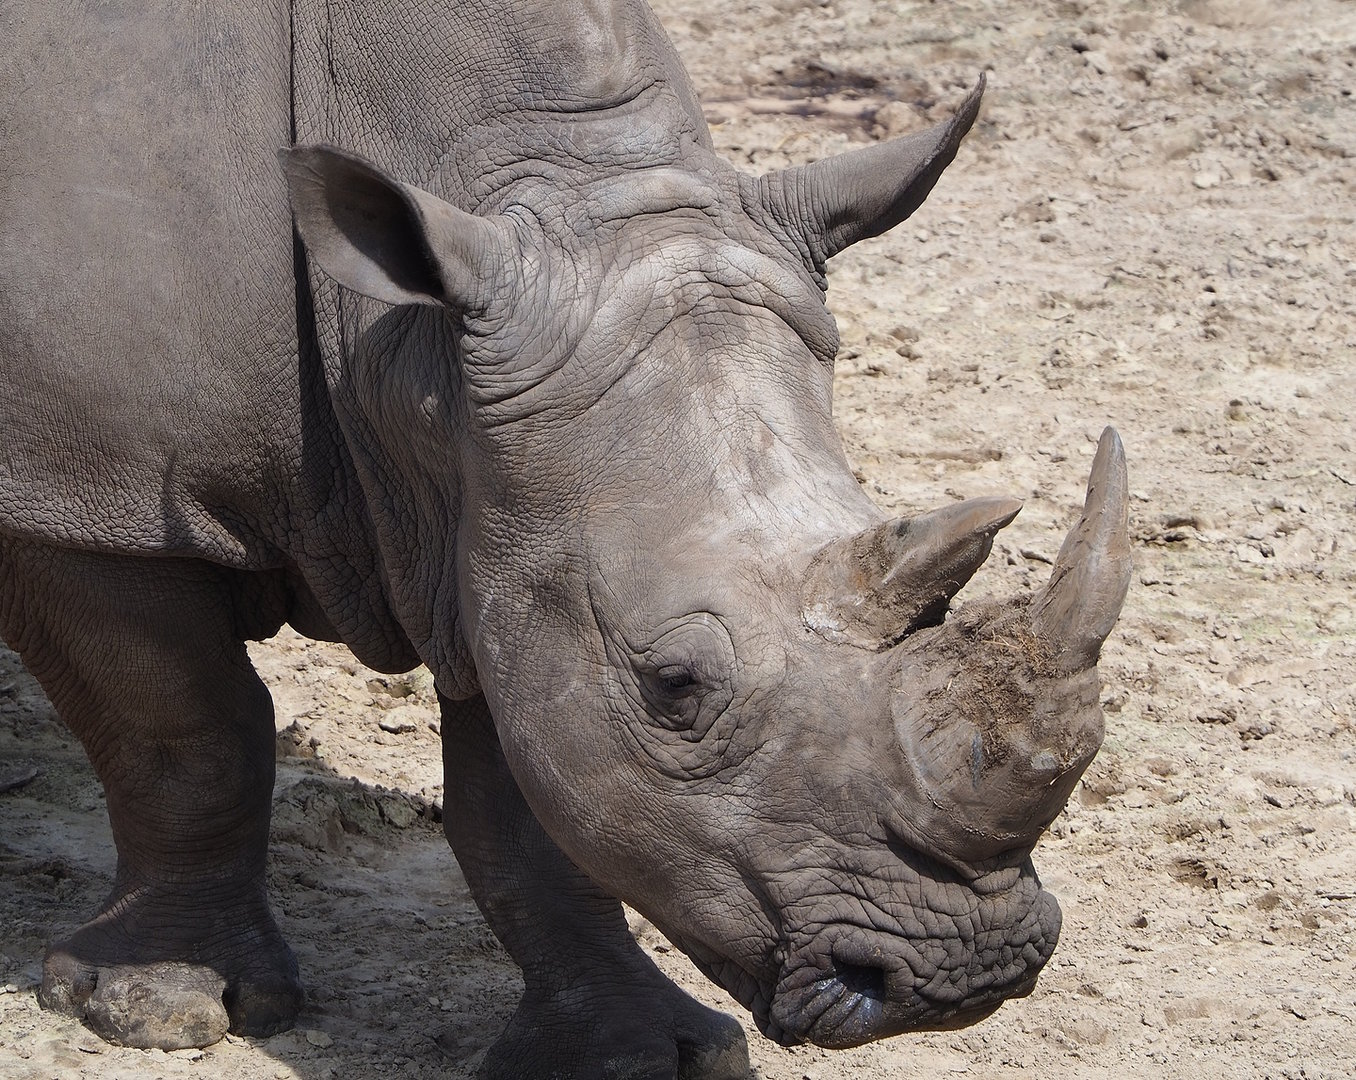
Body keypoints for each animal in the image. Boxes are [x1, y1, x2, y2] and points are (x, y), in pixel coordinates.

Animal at [0, 0, 1131, 1074]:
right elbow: (189, 734)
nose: (967, 974)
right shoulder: (80, 493)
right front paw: (163, 1005)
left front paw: (634, 1055)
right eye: (674, 686)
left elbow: (528, 806)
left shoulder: (501, 514)